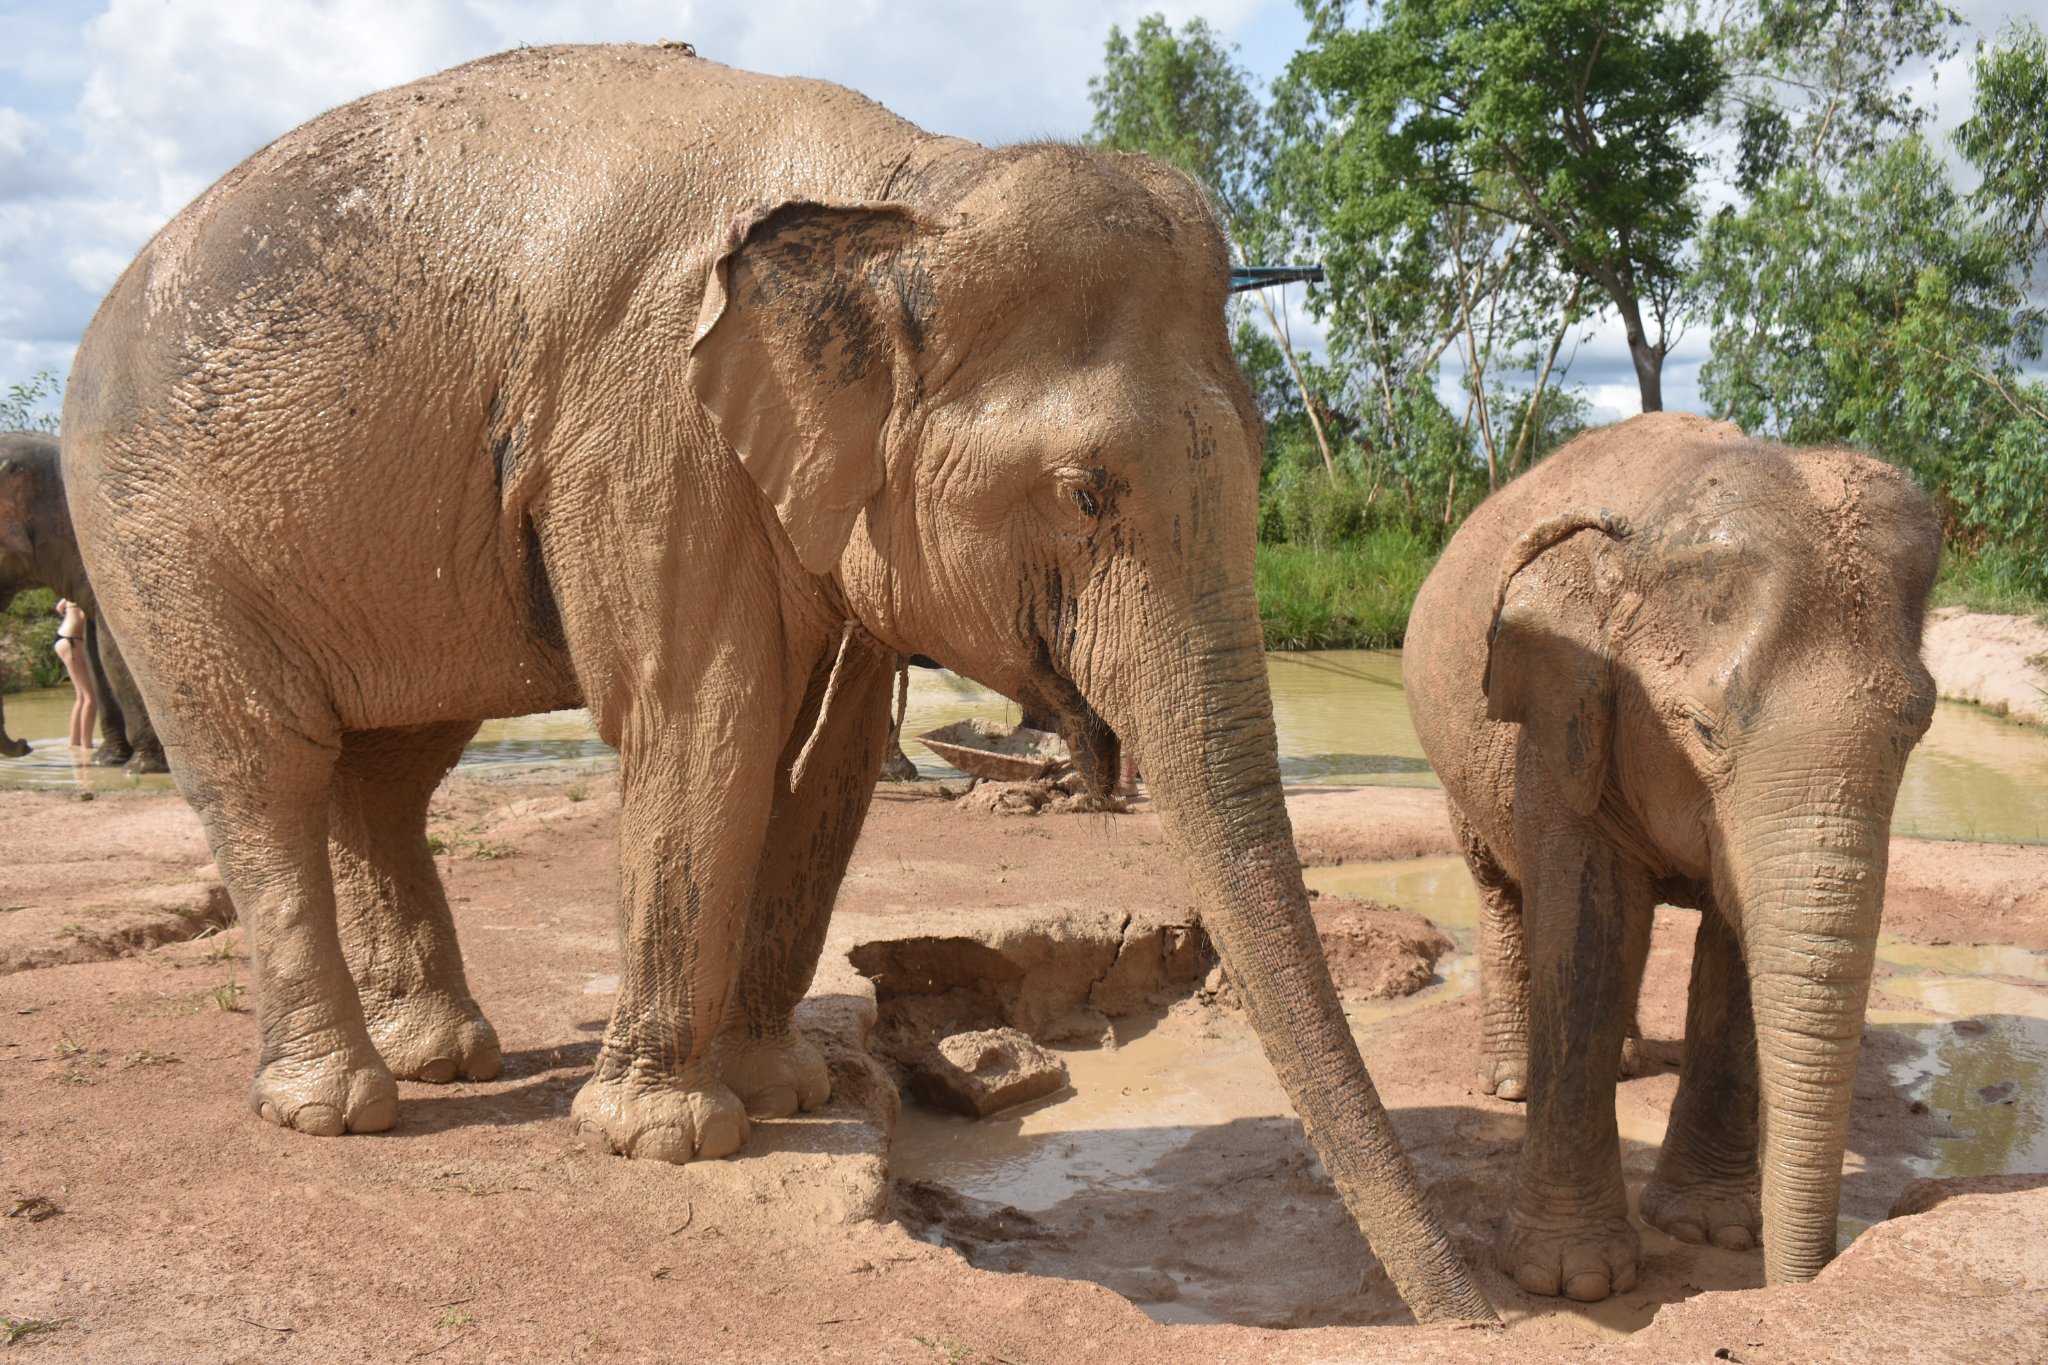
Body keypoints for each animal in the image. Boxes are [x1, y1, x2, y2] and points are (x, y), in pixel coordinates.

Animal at [61, 46, 1494, 1323]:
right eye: (1084, 494)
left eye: (1258, 452)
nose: (1471, 1319)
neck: (900, 186)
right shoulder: (644, 428)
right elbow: (704, 724)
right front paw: (666, 1139)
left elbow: (831, 755)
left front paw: (787, 1092)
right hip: (150, 539)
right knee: (266, 769)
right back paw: (339, 1106)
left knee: (392, 770)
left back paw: (449, 1058)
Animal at [1404, 412, 1939, 1302]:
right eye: (1703, 730)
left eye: (1917, 726)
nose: (1799, 1287)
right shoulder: (1559, 721)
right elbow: (1587, 933)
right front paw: (1572, 1280)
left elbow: (1733, 948)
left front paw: (1708, 1229)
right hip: (1459, 769)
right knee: (1505, 891)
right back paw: (1511, 1081)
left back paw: (1625, 1060)